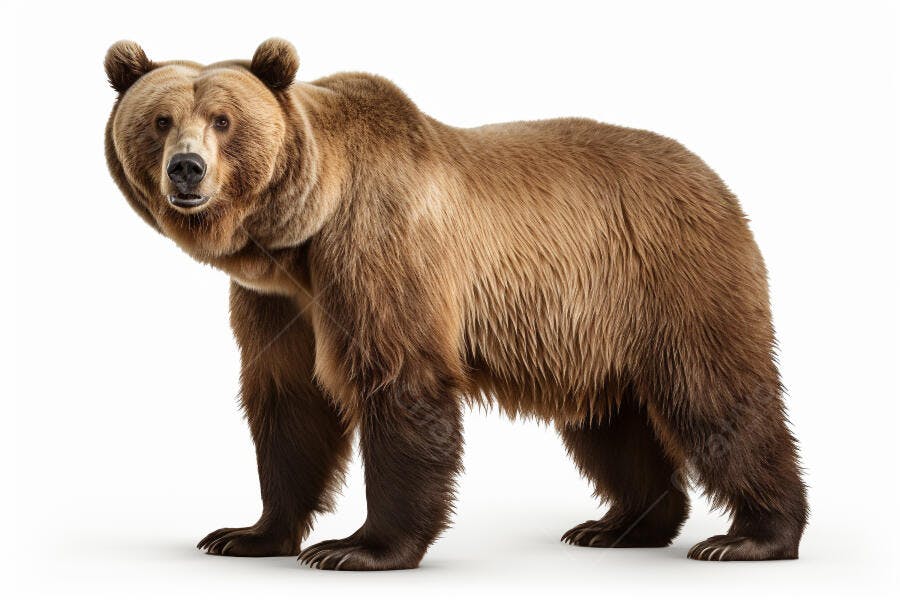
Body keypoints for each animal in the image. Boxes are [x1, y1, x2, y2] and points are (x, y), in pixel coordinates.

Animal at [104, 38, 808, 570]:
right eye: (161, 121)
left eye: (223, 120)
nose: (187, 169)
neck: (300, 232)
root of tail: (714, 178)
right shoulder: (278, 301)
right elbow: (289, 402)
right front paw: (246, 534)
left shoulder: (376, 251)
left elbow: (399, 382)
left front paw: (357, 548)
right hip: (593, 326)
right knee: (612, 421)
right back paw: (620, 525)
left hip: (672, 277)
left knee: (717, 395)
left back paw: (751, 535)